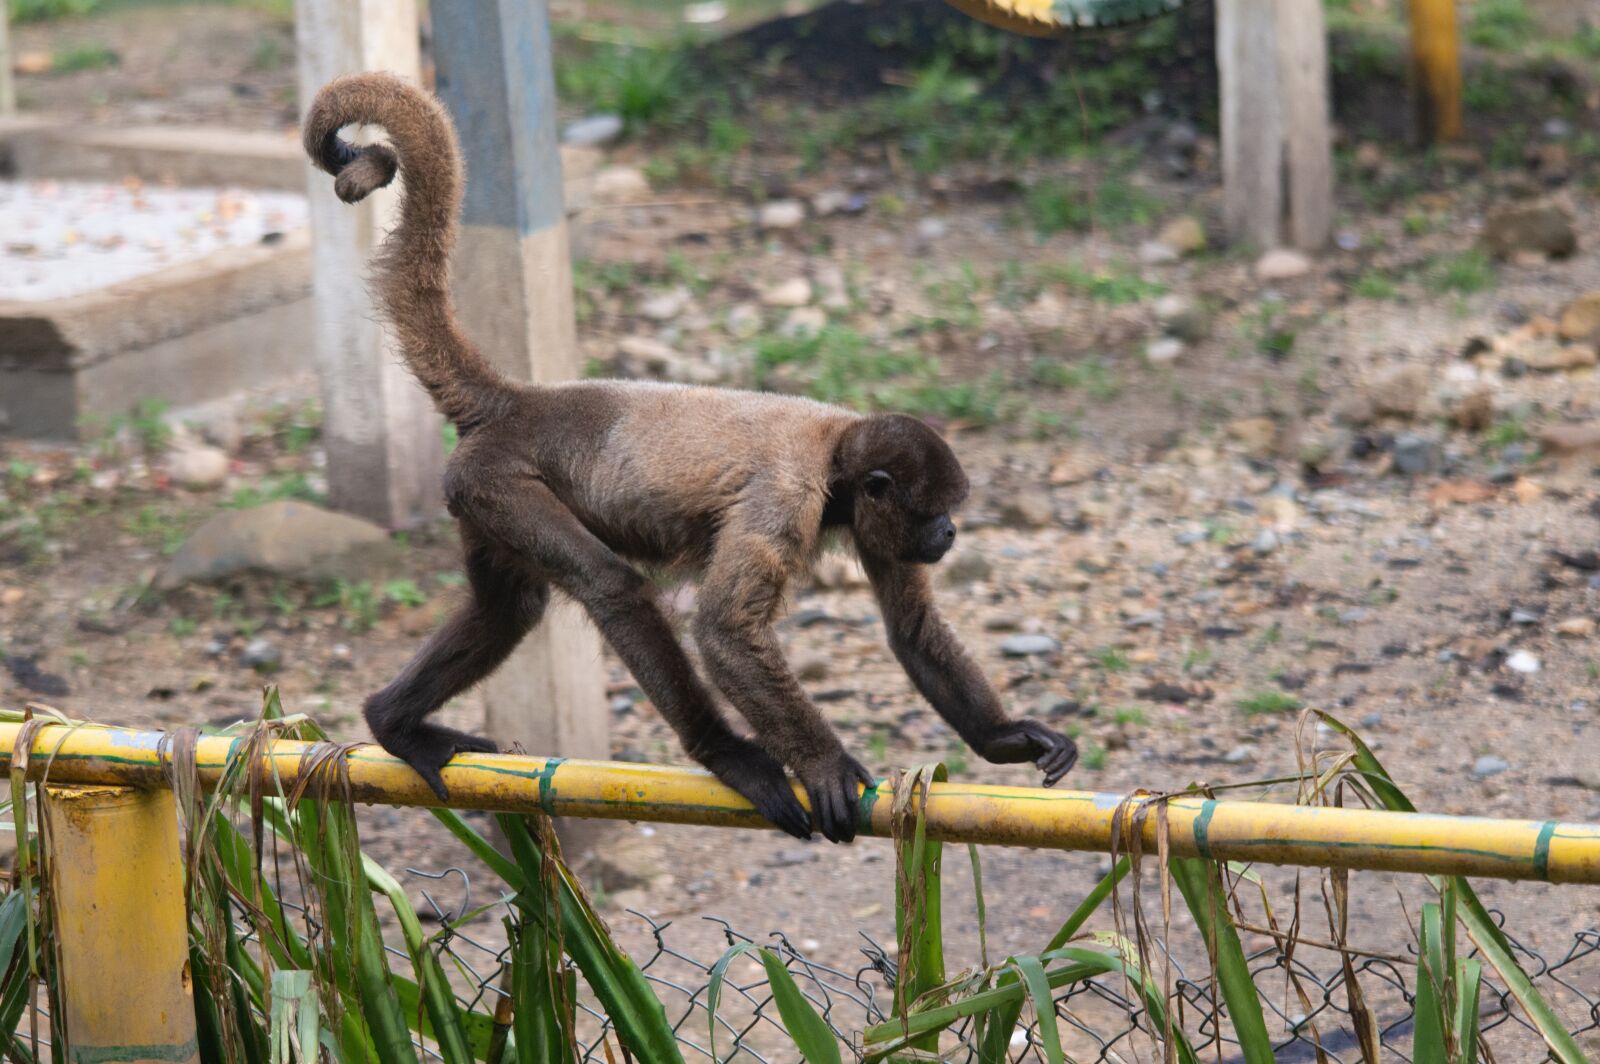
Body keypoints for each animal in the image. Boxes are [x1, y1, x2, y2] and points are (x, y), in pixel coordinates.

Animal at [303, 73, 1077, 843]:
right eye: (935, 512)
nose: (950, 533)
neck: (836, 458)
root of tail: (523, 402)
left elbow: (911, 630)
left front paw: (1005, 738)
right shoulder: (784, 499)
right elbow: (726, 633)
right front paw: (823, 763)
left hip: (477, 495)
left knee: (509, 607)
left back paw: (394, 722)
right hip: (498, 483)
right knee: (611, 586)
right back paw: (727, 754)